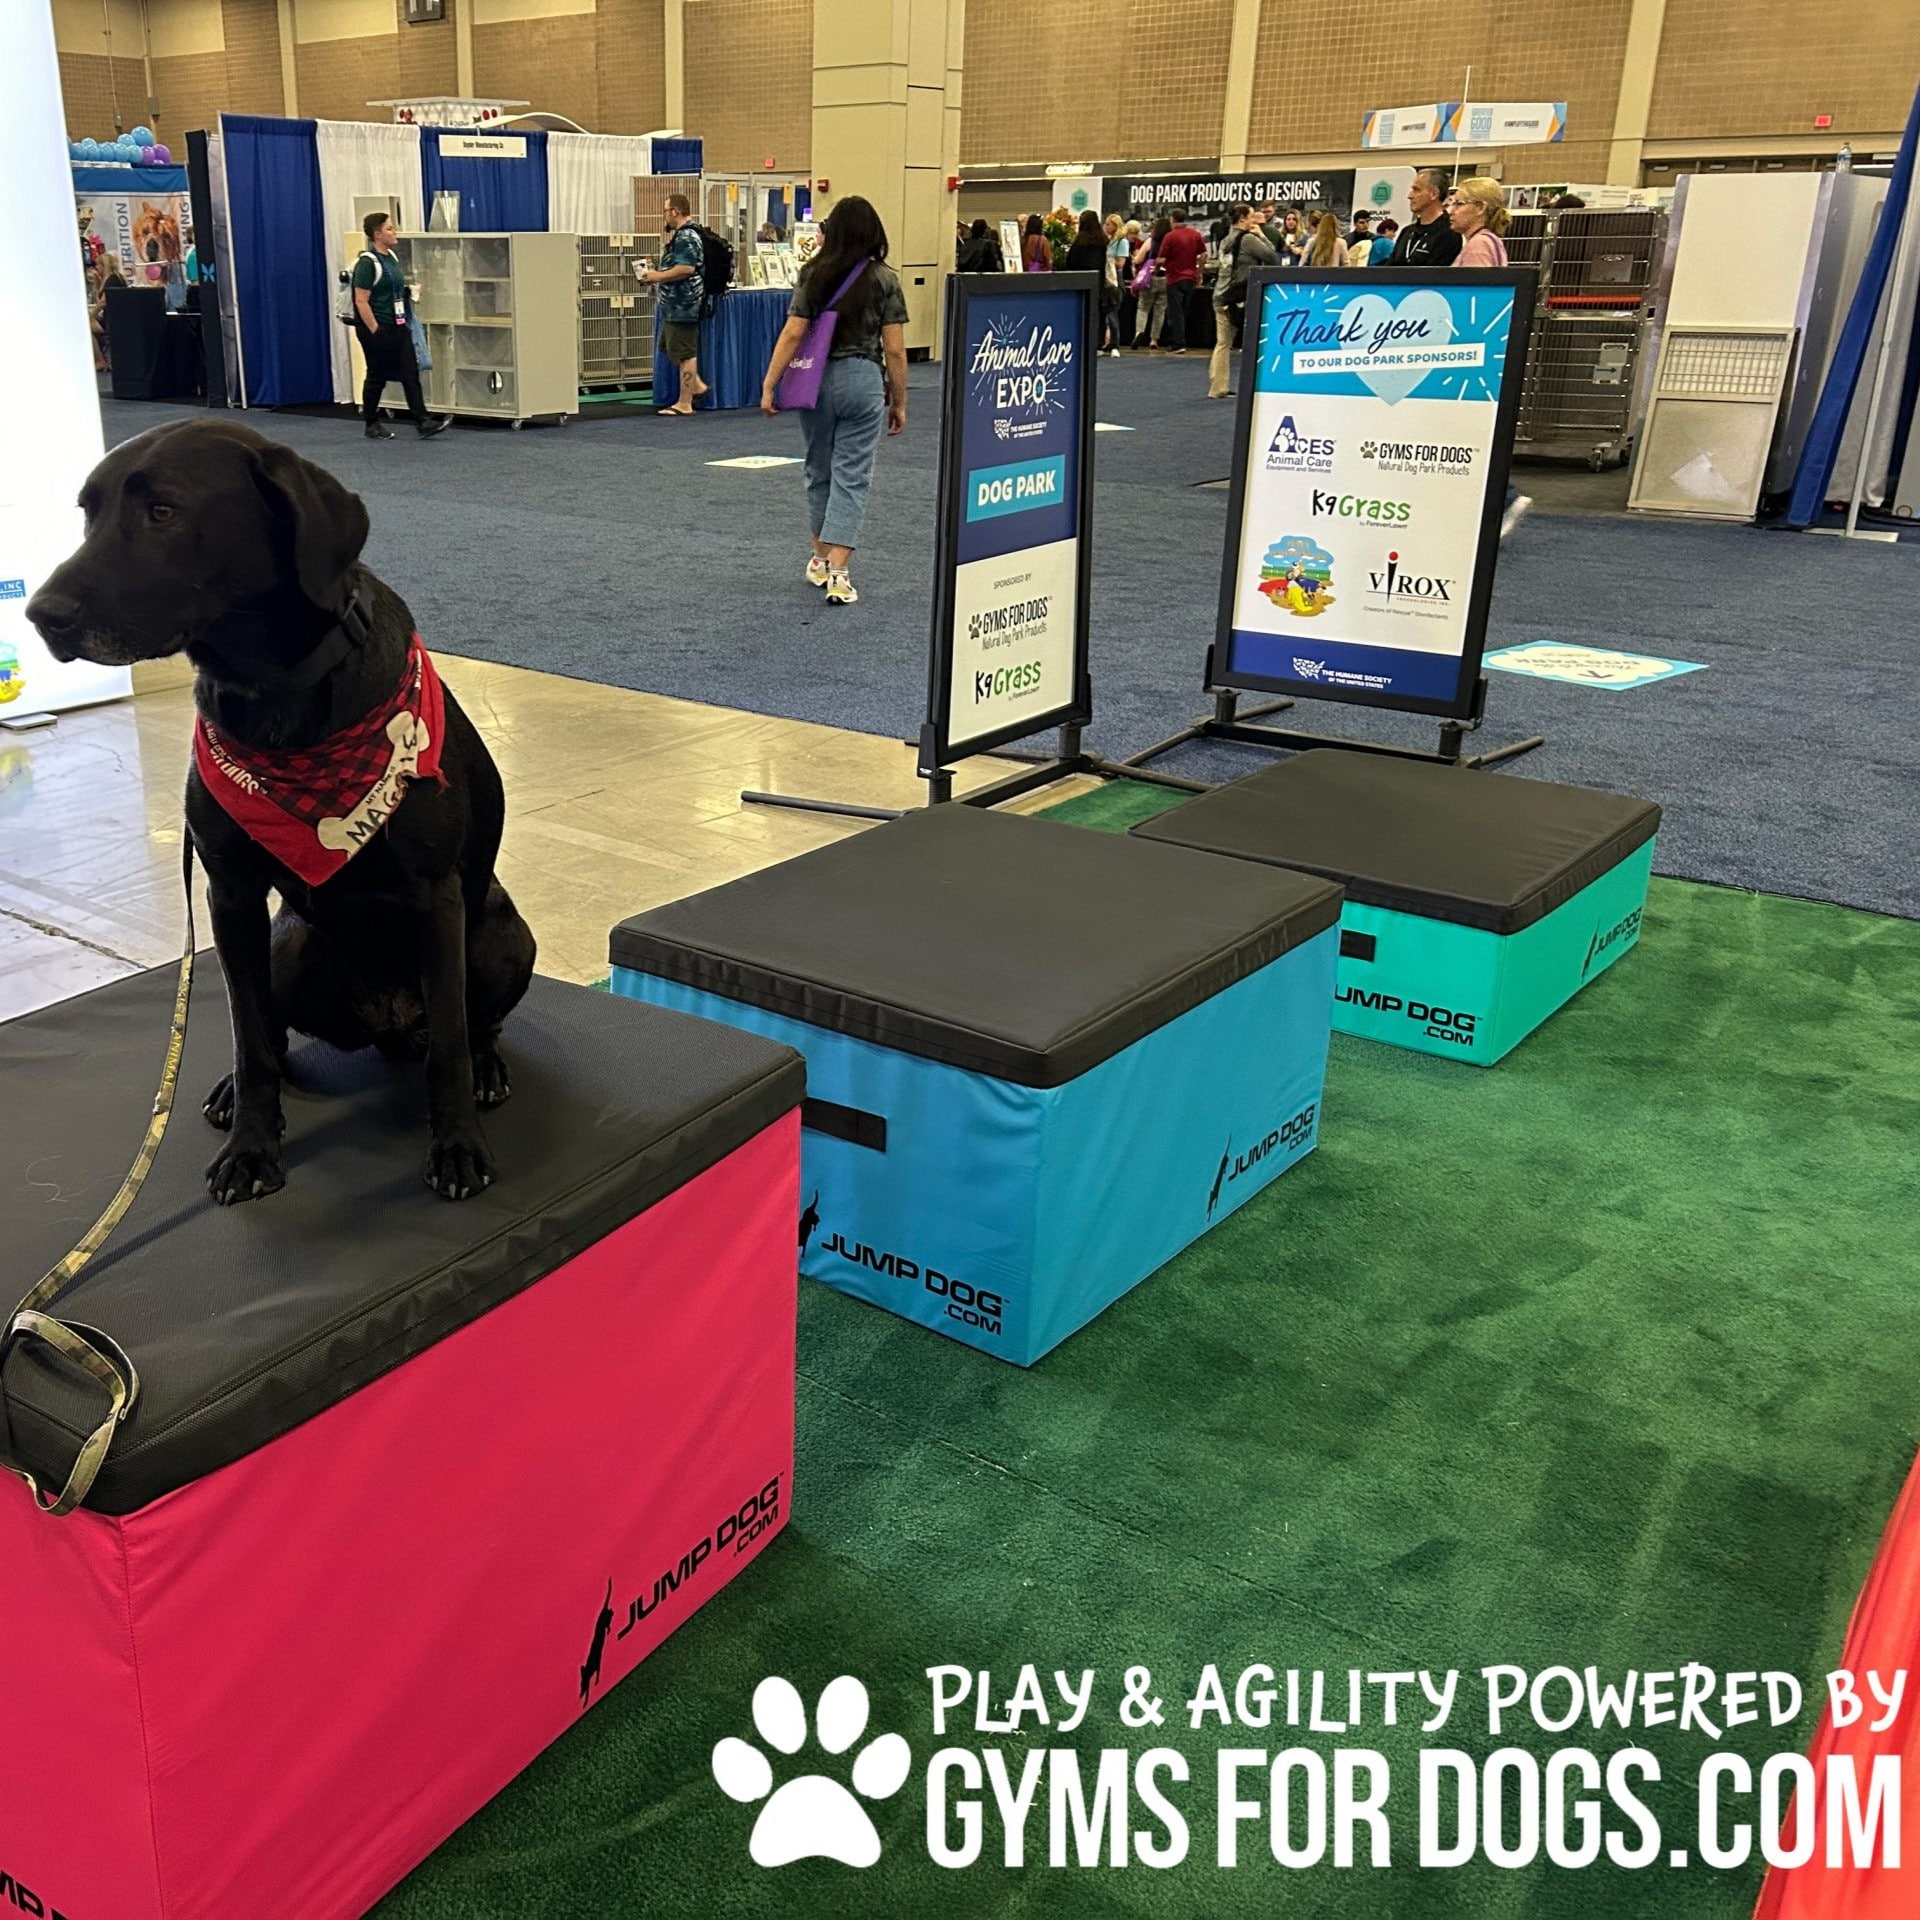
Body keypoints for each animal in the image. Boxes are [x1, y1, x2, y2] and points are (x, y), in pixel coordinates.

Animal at [28, 418, 535, 1205]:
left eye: (163, 511)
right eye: (88, 512)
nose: (40, 615)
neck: (272, 694)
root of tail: (391, 1022)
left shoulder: (435, 898)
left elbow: (449, 1045)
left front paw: (457, 1147)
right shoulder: (231, 896)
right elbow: (250, 1036)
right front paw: (251, 1147)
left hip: (502, 936)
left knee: (472, 1026)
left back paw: (486, 1068)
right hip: (286, 946)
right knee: (270, 1027)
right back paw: (230, 1091)